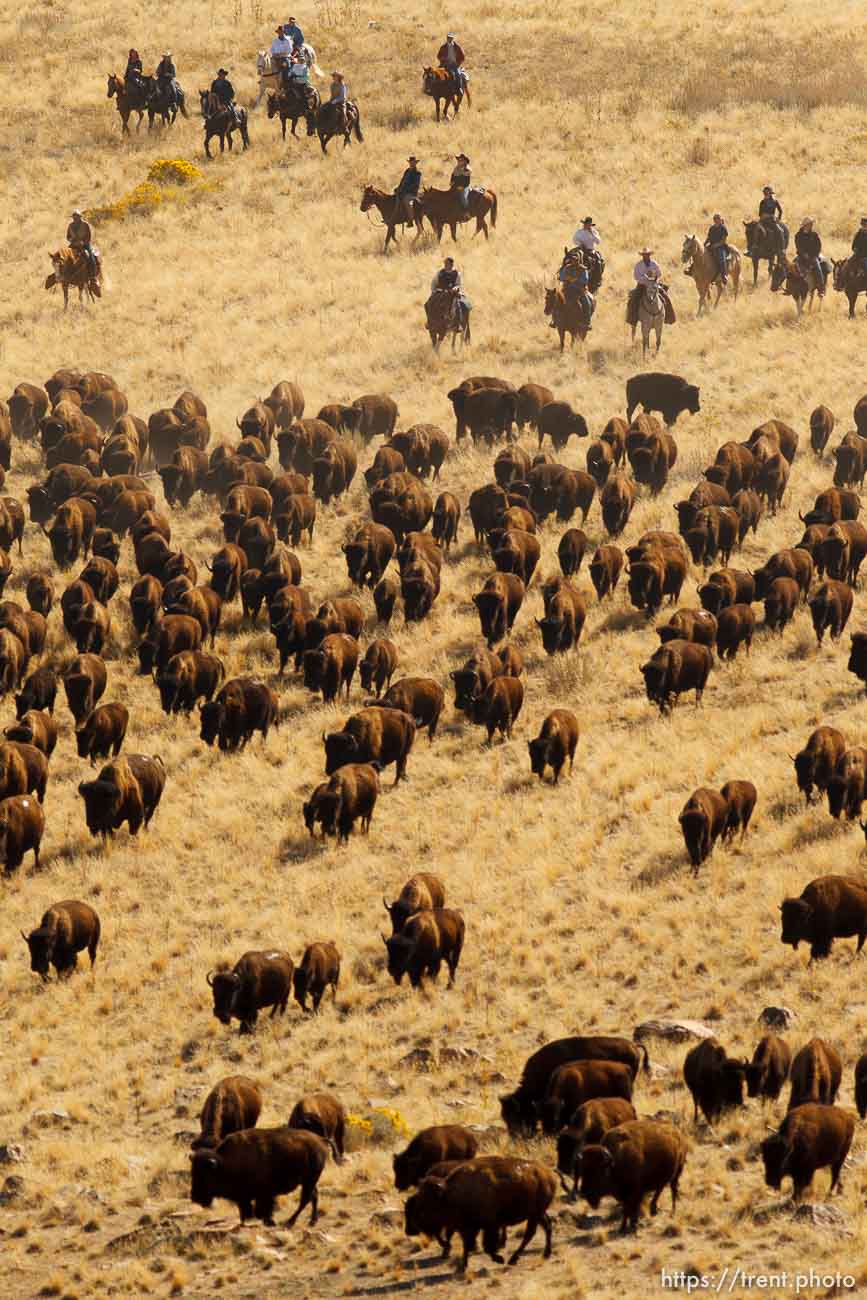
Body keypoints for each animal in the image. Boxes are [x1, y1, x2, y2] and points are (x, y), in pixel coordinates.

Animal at [189, 1128, 328, 1227]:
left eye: (205, 1175)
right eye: (193, 1173)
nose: (195, 1198)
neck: (225, 1163)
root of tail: (320, 1139)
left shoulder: (263, 1194)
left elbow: (262, 1208)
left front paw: (269, 1222)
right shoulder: (243, 1197)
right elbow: (246, 1209)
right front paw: (246, 1221)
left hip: (309, 1180)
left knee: (306, 1199)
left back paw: (290, 1222)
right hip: (309, 1181)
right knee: (314, 1196)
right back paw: (311, 1222)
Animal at [402, 1159, 553, 1268]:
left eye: (426, 1202)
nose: (410, 1229)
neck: (449, 1194)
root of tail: (548, 1174)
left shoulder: (489, 1225)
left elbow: (486, 1246)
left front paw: (499, 1258)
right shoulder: (468, 1228)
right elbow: (467, 1244)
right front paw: (463, 1266)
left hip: (534, 1214)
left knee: (530, 1233)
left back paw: (513, 1259)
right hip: (538, 1214)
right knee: (547, 1226)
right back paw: (545, 1254)